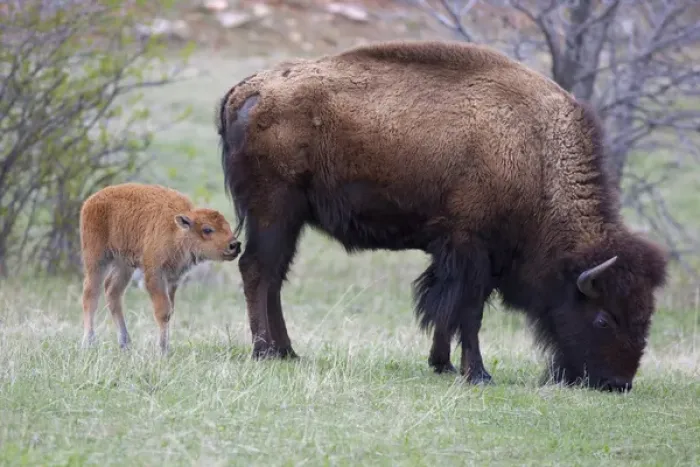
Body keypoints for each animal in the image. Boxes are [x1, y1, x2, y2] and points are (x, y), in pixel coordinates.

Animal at [79, 182, 241, 354]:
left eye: (228, 226)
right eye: (207, 229)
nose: (234, 245)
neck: (176, 230)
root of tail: (91, 200)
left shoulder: (173, 279)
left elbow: (170, 310)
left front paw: (166, 347)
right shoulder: (155, 275)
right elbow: (163, 311)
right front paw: (162, 350)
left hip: (124, 264)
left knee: (112, 292)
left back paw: (125, 344)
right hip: (96, 259)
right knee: (90, 295)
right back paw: (88, 343)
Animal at [216, 40, 668, 392]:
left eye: (646, 316)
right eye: (604, 319)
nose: (617, 384)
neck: (536, 155)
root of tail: (247, 89)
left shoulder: (463, 254)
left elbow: (446, 307)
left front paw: (443, 364)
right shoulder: (471, 248)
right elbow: (466, 310)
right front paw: (477, 374)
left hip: (289, 219)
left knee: (274, 276)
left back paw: (287, 351)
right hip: (274, 209)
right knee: (257, 269)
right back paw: (264, 351)